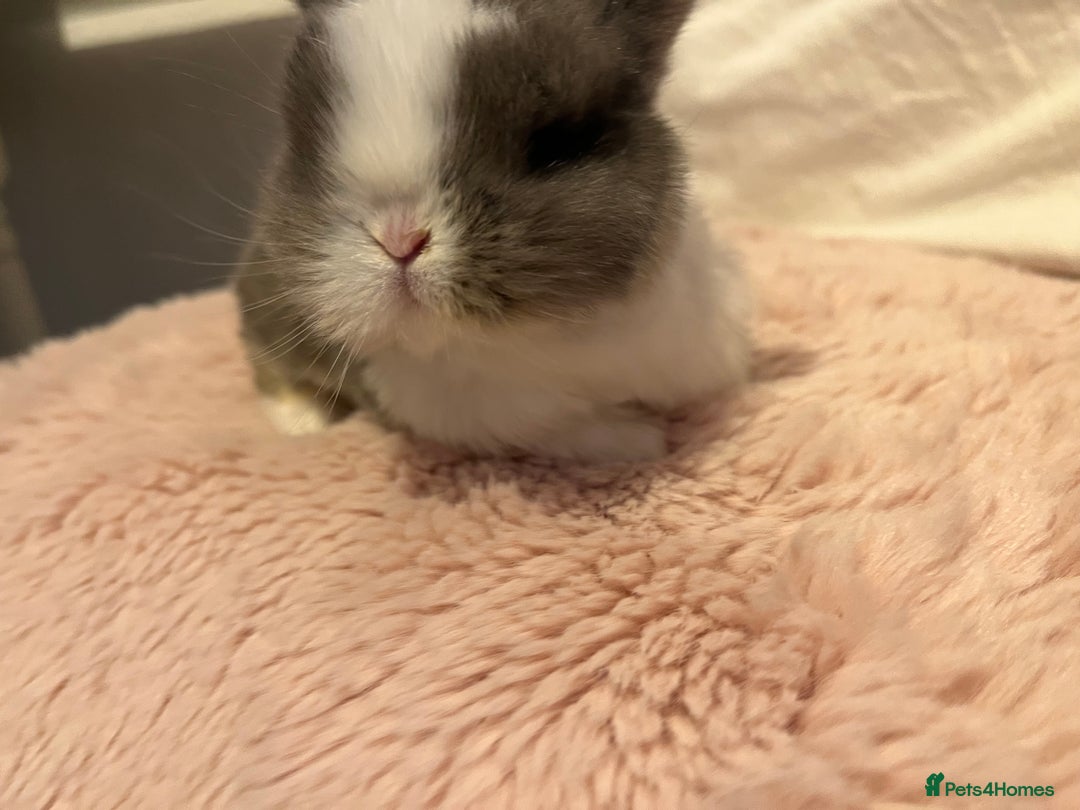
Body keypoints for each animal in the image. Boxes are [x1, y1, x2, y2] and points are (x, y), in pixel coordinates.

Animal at [234, 0, 751, 463]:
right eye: (310, 151)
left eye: (558, 143)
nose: (400, 240)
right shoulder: (475, 418)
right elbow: (569, 432)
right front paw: (642, 442)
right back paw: (302, 423)